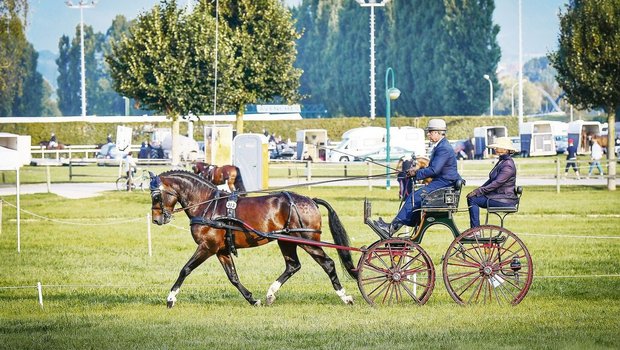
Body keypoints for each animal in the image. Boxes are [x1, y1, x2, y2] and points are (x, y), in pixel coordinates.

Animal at [147, 170, 356, 306]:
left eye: (156, 196)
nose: (156, 219)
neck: (208, 205)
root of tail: (310, 200)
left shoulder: (207, 247)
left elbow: (185, 269)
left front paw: (171, 298)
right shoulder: (221, 250)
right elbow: (233, 277)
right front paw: (252, 299)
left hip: (307, 241)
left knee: (328, 263)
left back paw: (344, 297)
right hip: (286, 241)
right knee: (293, 265)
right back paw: (270, 294)